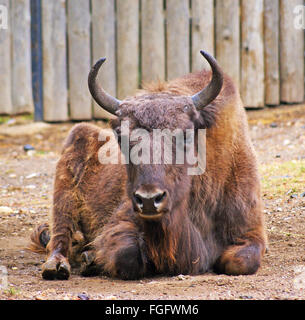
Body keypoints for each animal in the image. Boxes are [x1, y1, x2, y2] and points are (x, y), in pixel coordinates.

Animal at [29, 51, 266, 278]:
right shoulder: (122, 221)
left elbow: (241, 261)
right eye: (121, 137)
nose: (150, 200)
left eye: (186, 134)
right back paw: (57, 266)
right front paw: (93, 258)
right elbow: (127, 255)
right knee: (60, 235)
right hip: (64, 195)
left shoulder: (251, 231)